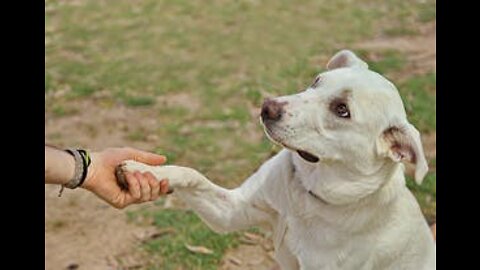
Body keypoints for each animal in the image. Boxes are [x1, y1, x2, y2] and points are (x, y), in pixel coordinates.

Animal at [120, 49, 436, 268]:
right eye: (316, 81)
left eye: (342, 110)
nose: (266, 107)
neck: (307, 195)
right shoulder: (232, 211)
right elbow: (190, 174)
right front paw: (142, 170)